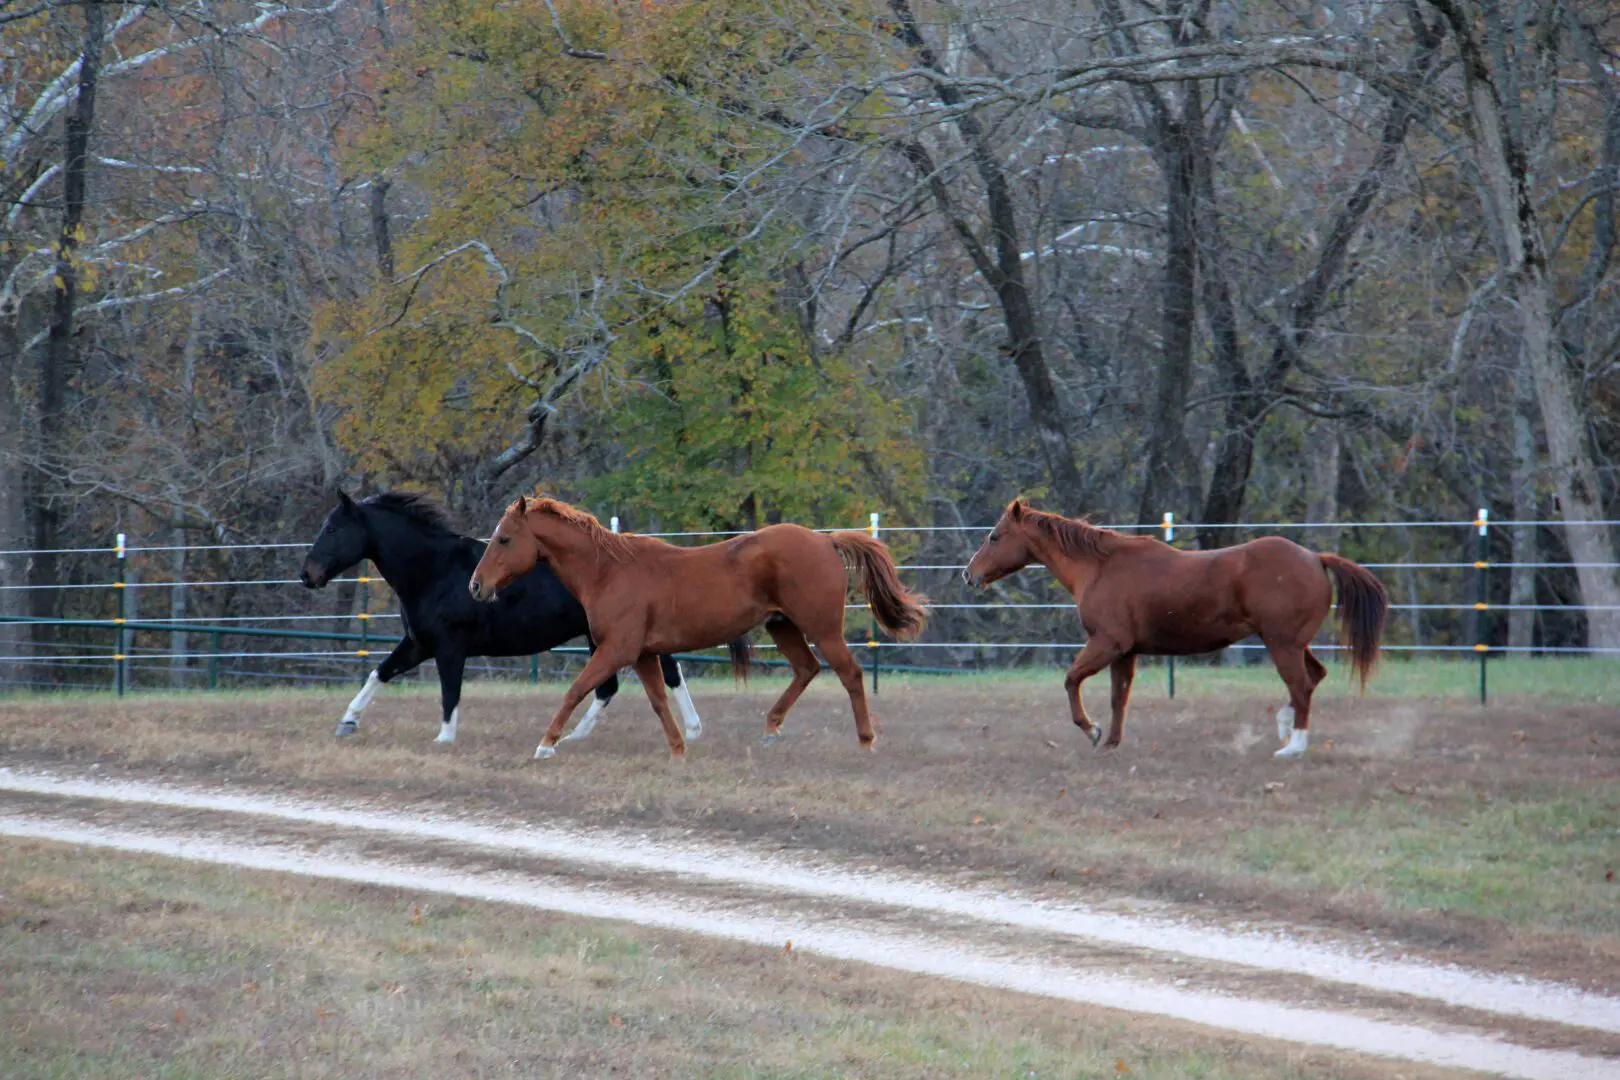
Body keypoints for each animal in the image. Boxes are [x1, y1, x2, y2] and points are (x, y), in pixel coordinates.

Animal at [299, 495, 703, 748]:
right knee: (611, 688)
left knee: (665, 674)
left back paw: (693, 730)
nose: (307, 574)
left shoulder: (449, 647)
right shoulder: (418, 644)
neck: (435, 571)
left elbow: (450, 693)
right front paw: (348, 723)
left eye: (332, 529)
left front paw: (444, 739)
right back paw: (576, 736)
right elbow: (379, 673)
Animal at [469, 498, 926, 761]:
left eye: (504, 539)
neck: (608, 570)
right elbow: (657, 700)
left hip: (822, 627)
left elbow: (576, 690)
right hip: (784, 627)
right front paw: (678, 748)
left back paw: (866, 740)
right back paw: (771, 729)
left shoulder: (616, 651)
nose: (476, 585)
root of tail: (825, 540)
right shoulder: (642, 654)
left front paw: (546, 744)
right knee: (806, 670)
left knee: (849, 673)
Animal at [959, 501, 1393, 761]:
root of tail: (1315, 558)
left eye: (994, 536)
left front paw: (1092, 731)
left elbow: (1071, 680)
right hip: (1293, 643)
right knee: (1312, 679)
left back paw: (1294, 747)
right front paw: (1112, 742)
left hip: (1282, 644)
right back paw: (1285, 730)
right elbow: (1119, 698)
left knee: (1301, 686)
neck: (1101, 567)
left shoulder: (1107, 643)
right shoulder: (1126, 652)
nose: (969, 574)